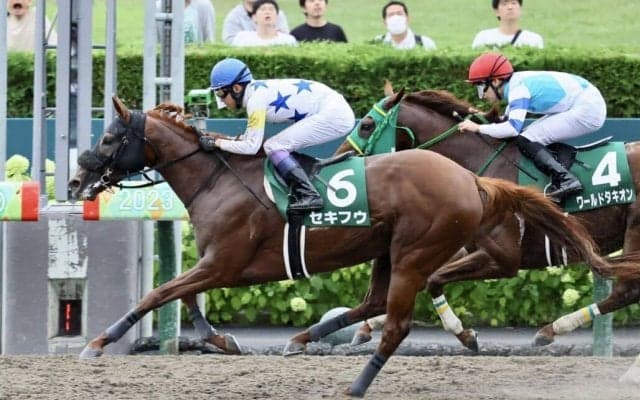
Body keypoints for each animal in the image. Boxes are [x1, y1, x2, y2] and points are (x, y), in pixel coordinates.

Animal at [70, 97, 610, 397]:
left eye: (111, 137)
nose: (76, 181)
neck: (216, 179)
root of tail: (472, 180)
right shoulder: (217, 264)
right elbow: (183, 299)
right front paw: (222, 341)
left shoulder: (225, 262)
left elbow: (158, 293)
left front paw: (98, 342)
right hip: (389, 252)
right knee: (373, 304)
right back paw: (307, 339)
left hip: (415, 252)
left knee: (395, 324)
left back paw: (356, 384)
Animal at [308, 87, 640, 349]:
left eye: (366, 125)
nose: (336, 159)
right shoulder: (455, 240)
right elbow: (424, 278)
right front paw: (366, 327)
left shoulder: (503, 257)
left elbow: (433, 278)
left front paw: (464, 333)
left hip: (634, 230)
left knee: (625, 291)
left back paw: (550, 329)